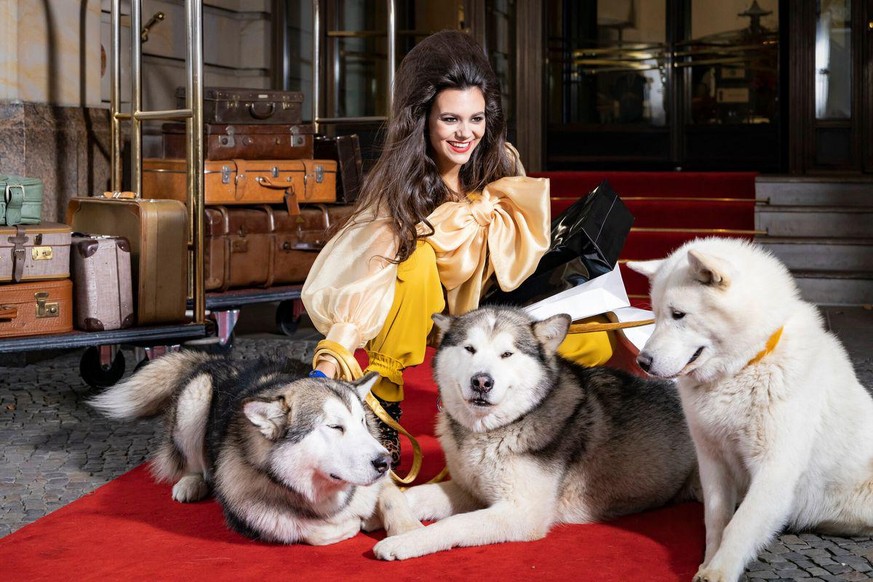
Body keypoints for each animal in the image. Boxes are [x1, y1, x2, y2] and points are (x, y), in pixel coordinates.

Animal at [87, 352, 418, 548]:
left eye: (363, 422)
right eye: (335, 427)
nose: (384, 462)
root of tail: (217, 356)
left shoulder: (382, 481)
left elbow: (391, 496)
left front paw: (408, 530)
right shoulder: (255, 515)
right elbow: (313, 530)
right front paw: (356, 523)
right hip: (196, 396)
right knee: (194, 463)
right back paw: (192, 482)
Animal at [372, 308, 700, 564]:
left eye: (507, 354)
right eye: (469, 349)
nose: (482, 381)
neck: (493, 431)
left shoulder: (521, 513)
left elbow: (455, 524)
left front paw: (405, 541)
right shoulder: (469, 490)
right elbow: (410, 494)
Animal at [628, 238, 872, 582]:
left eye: (678, 314)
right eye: (654, 313)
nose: (642, 361)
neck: (742, 369)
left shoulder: (774, 467)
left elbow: (741, 524)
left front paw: (719, 571)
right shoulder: (712, 461)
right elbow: (716, 519)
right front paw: (708, 561)